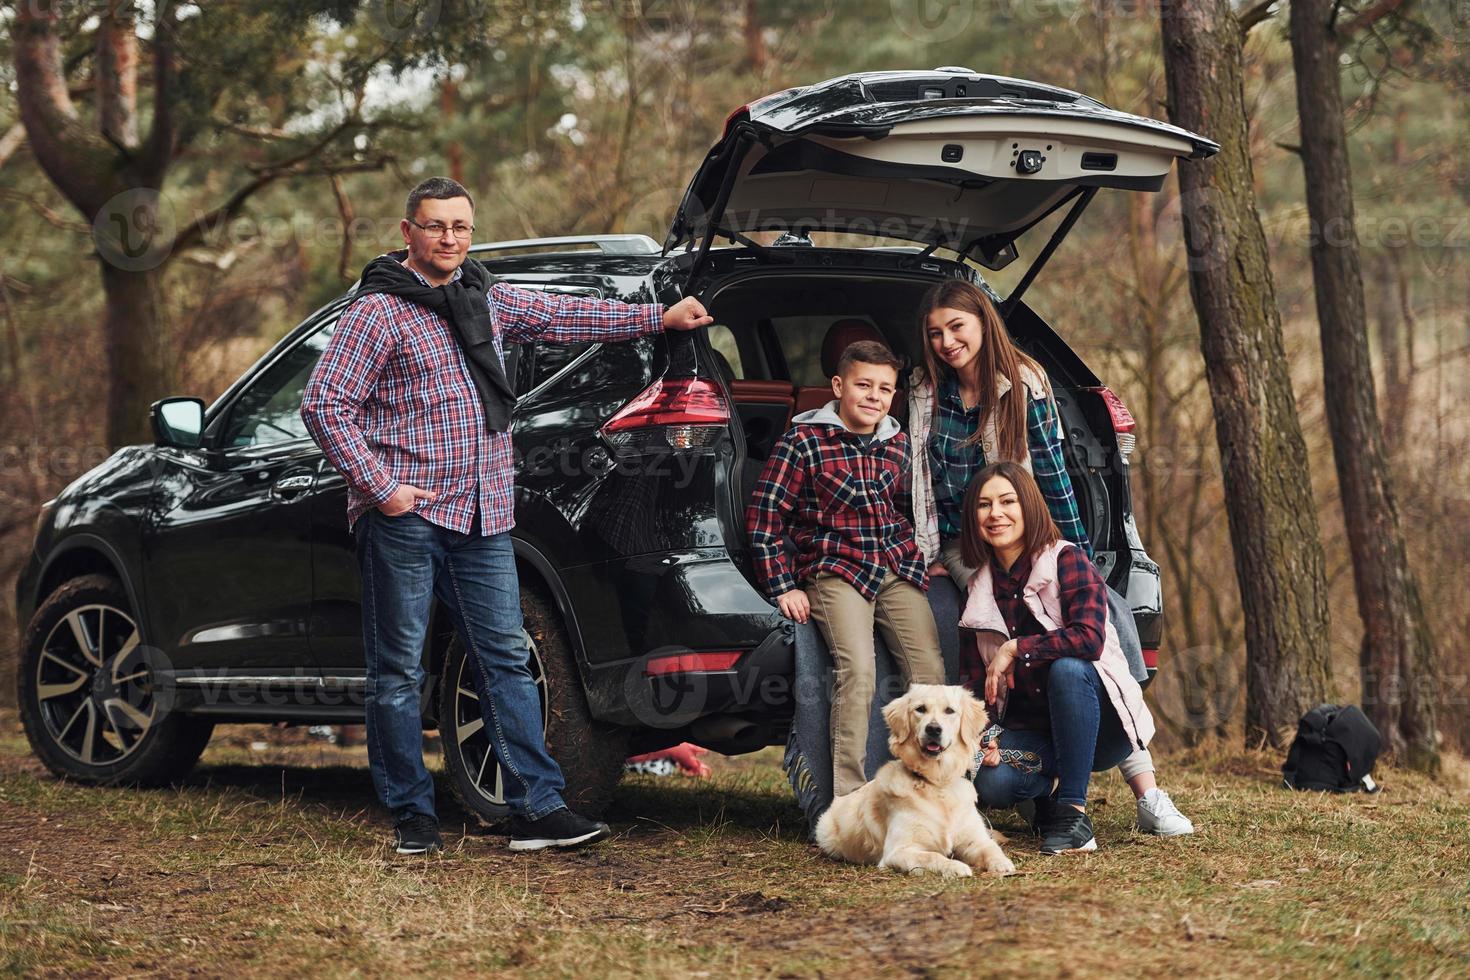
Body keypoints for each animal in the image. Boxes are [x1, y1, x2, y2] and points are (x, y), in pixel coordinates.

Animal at [817, 681, 1011, 881]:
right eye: (920, 709)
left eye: (949, 710)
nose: (933, 729)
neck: (937, 783)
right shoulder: (898, 851)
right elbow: (933, 856)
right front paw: (954, 866)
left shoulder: (974, 839)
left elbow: (990, 848)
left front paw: (1002, 863)